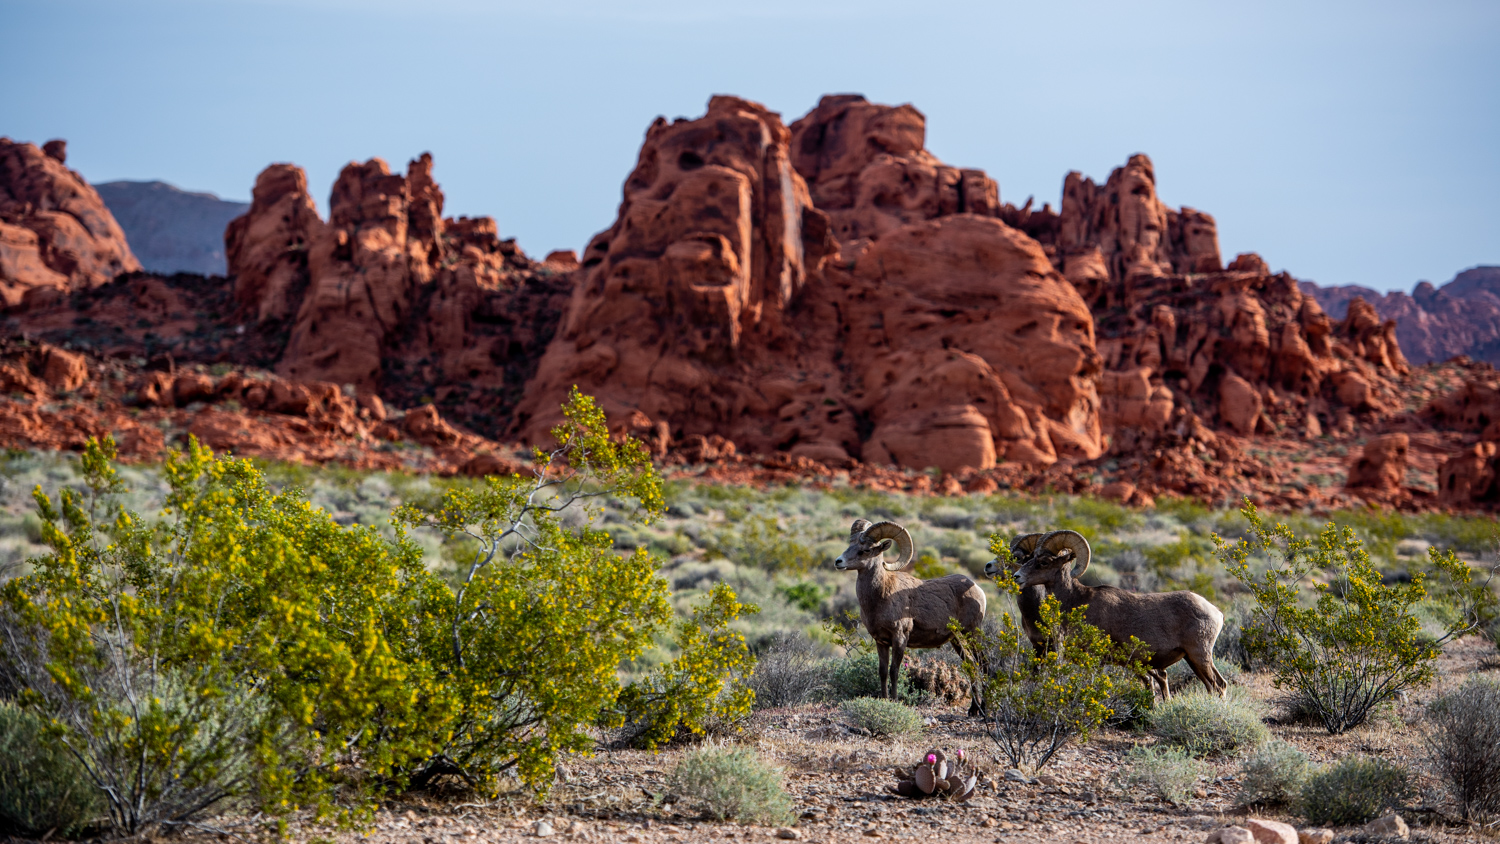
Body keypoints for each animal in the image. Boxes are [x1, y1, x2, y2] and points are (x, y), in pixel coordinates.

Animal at [834, 521, 984, 713]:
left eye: (865, 550)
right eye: (850, 544)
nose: (838, 562)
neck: (881, 596)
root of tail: (978, 590)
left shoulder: (900, 638)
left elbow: (894, 671)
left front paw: (895, 701)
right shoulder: (881, 642)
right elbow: (882, 671)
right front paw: (884, 700)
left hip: (972, 634)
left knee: (982, 664)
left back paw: (983, 710)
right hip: (957, 640)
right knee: (971, 666)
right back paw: (974, 710)